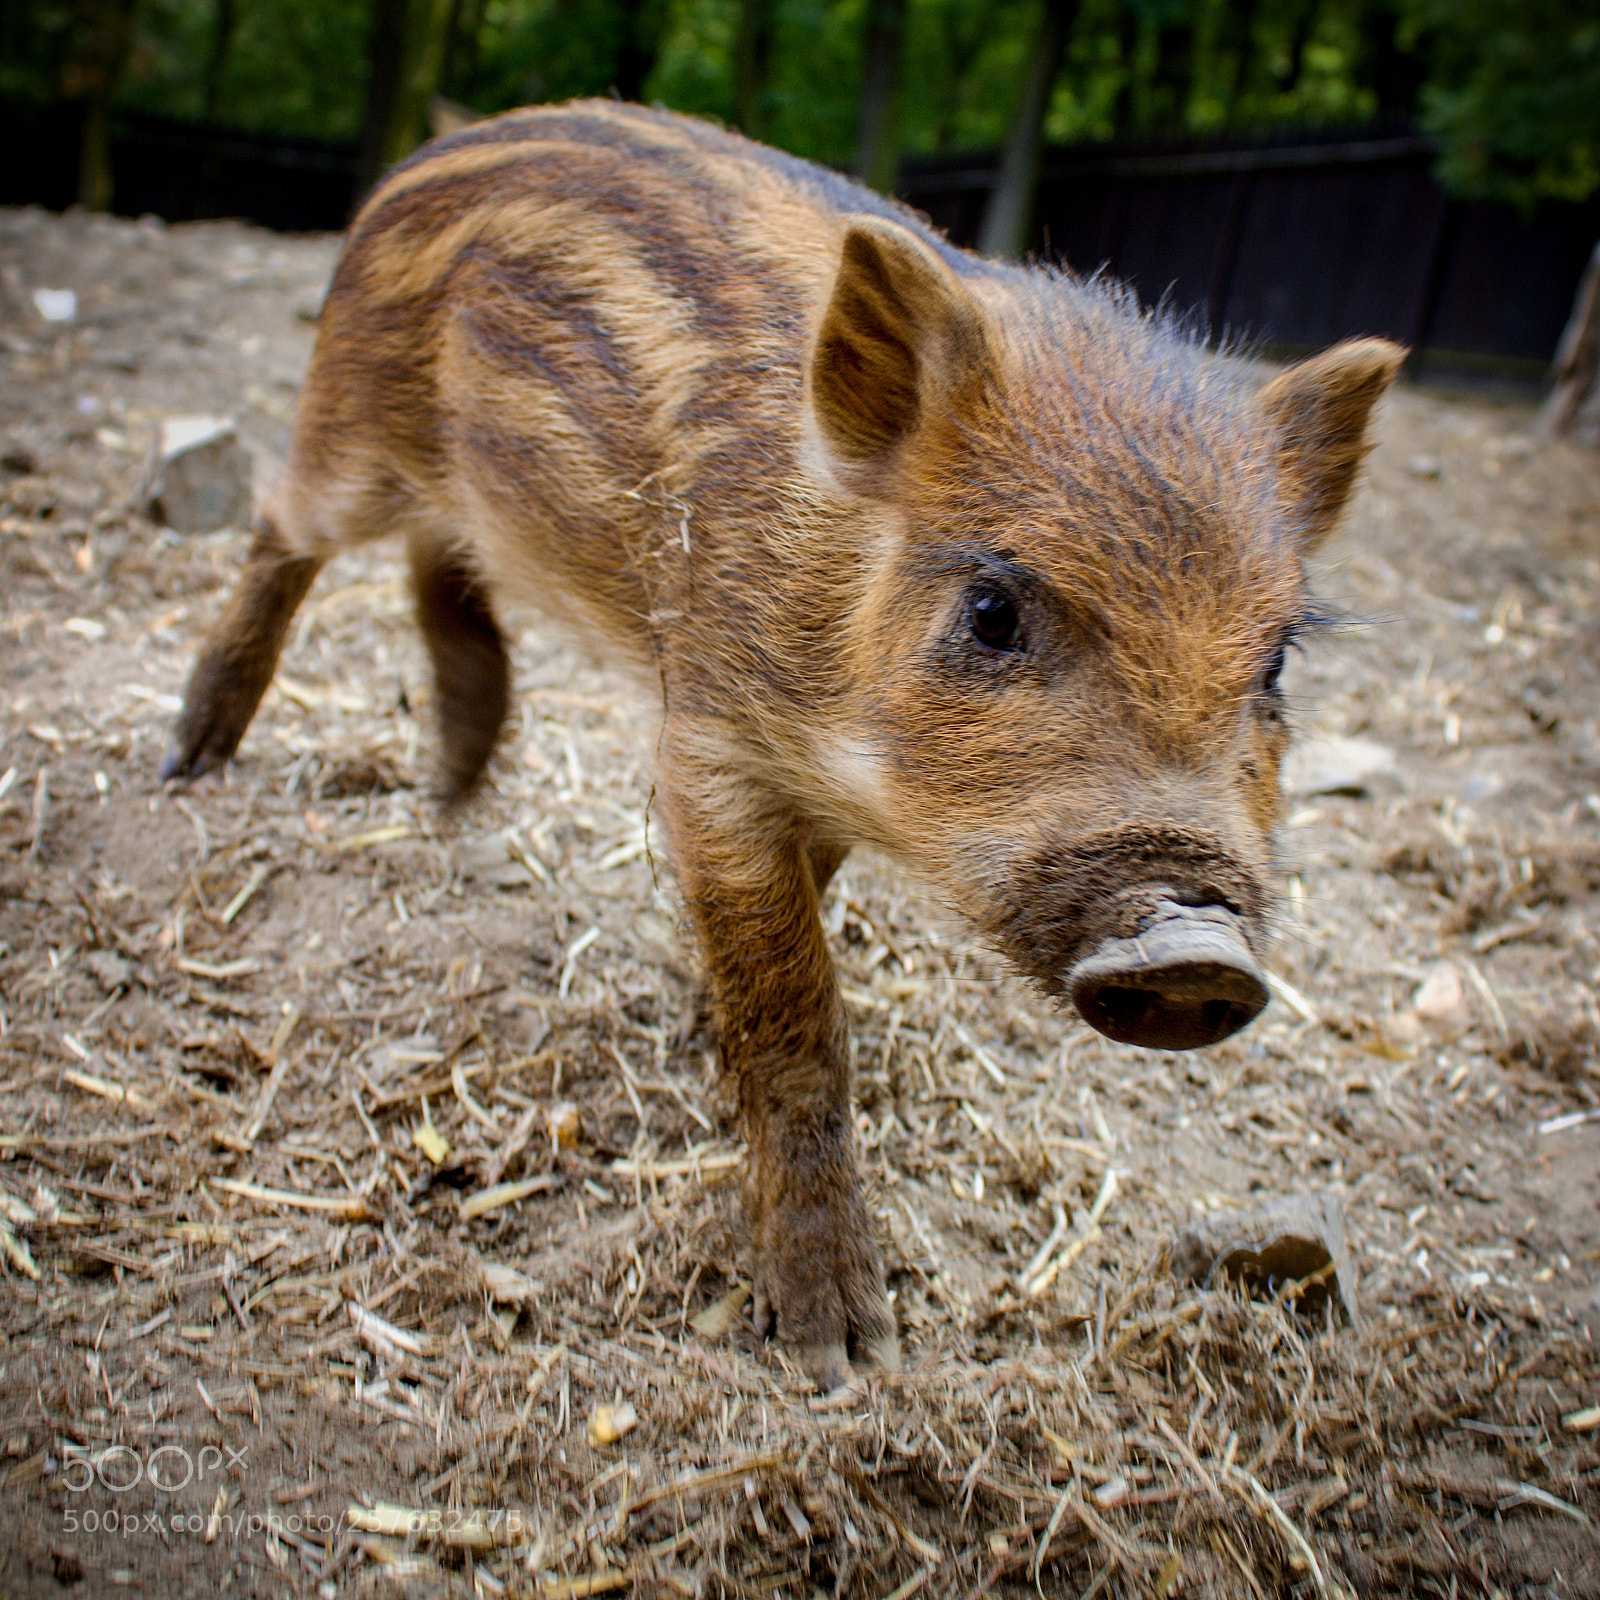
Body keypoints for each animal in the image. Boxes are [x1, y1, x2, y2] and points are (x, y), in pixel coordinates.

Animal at [160, 100, 1403, 1388]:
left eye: (1275, 664)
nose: (1196, 945)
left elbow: (800, 919)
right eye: (992, 610)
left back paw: (454, 798)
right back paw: (191, 760)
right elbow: (796, 1014)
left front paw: (693, 1011)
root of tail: (439, 147)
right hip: (349, 430)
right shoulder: (707, 744)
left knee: (441, 567)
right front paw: (838, 1348)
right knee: (283, 527)